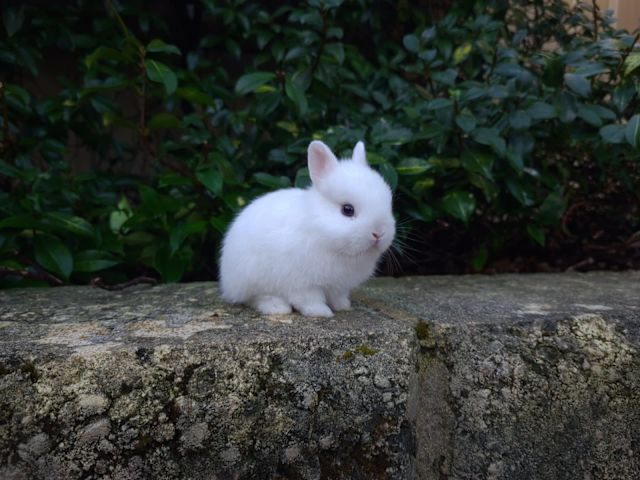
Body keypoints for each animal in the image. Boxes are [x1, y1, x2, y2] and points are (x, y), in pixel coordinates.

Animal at [219, 140, 395, 317]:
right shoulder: (303, 283)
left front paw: (343, 306)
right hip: (254, 279)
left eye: (388, 205)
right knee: (257, 297)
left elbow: (337, 296)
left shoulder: (338, 286)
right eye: (347, 209)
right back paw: (277, 307)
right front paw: (321, 312)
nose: (378, 233)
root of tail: (226, 281)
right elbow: (309, 300)